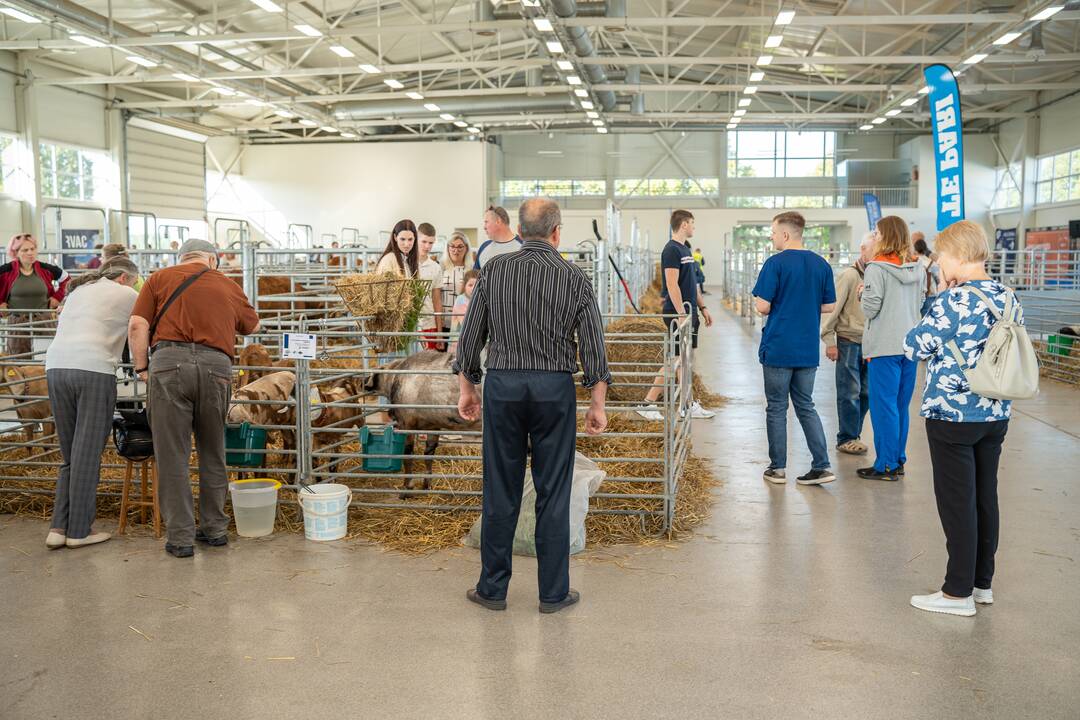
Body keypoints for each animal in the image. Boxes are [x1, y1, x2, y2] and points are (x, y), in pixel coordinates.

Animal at [362, 349, 481, 496]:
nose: (363, 382)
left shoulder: (406, 423)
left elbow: (408, 454)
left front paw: (407, 487)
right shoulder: (434, 425)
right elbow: (428, 453)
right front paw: (426, 485)